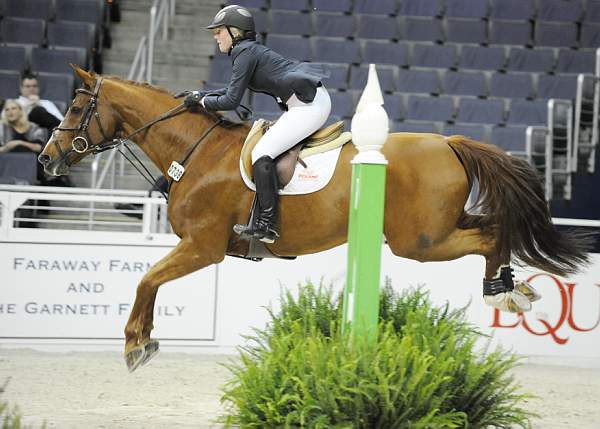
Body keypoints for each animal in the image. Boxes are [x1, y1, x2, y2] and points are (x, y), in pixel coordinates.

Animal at [38, 67, 592, 372]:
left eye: (76, 107)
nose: (46, 161)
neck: (194, 150)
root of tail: (449, 142)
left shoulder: (202, 246)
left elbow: (147, 279)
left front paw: (136, 344)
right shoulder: (199, 247)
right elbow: (150, 281)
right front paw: (145, 339)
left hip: (419, 240)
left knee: (492, 232)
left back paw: (502, 290)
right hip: (431, 232)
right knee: (493, 227)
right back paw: (515, 286)